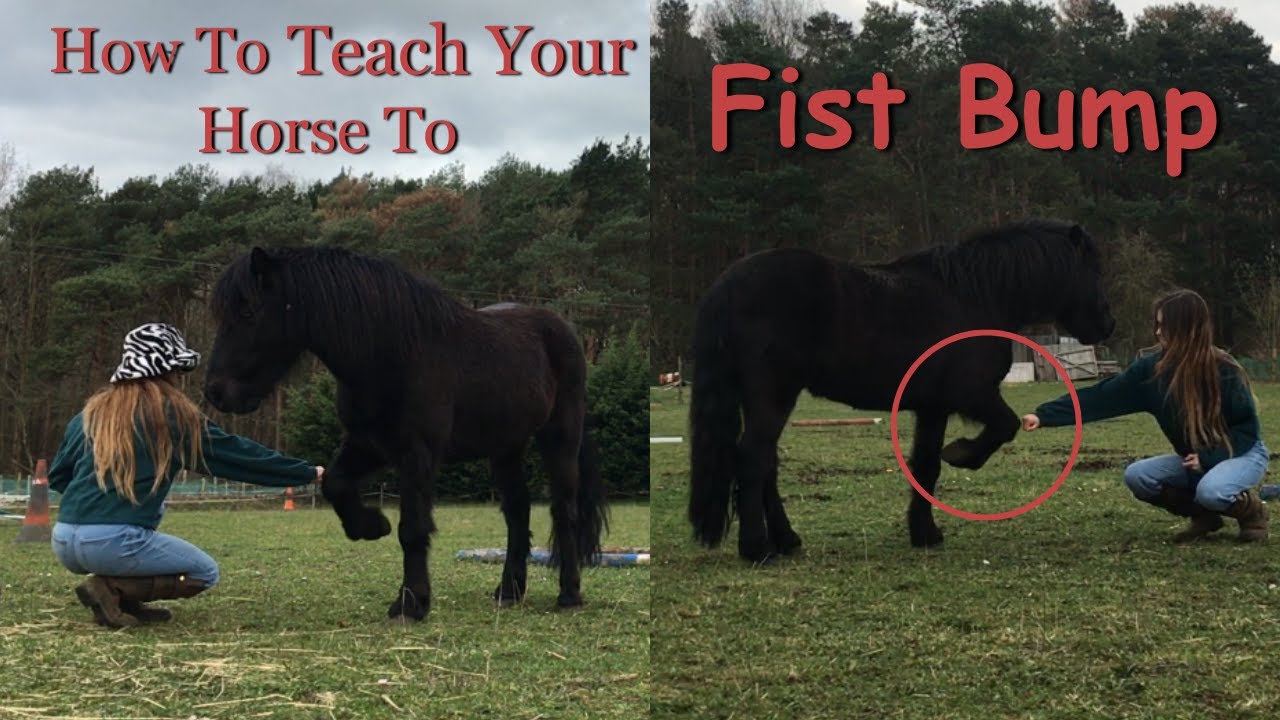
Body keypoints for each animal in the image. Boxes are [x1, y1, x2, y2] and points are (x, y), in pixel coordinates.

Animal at [203, 246, 609, 622]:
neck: (390, 354)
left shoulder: (417, 452)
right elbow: (334, 484)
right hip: (505, 446)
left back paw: (569, 594)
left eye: (249, 313)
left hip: (560, 438)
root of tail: (562, 328)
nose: (216, 392)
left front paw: (410, 604)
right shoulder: (367, 444)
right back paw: (509, 591)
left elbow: (412, 528)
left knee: (564, 511)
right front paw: (370, 526)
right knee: (517, 512)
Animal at [687, 219, 1115, 562]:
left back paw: (787, 540)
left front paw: (924, 533)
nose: (1107, 325)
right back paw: (757, 548)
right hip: (774, 395)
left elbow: (925, 465)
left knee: (767, 462)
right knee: (753, 457)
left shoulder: (933, 407)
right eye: (1092, 271)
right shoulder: (971, 393)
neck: (977, 297)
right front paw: (962, 455)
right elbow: (1003, 427)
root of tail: (726, 286)